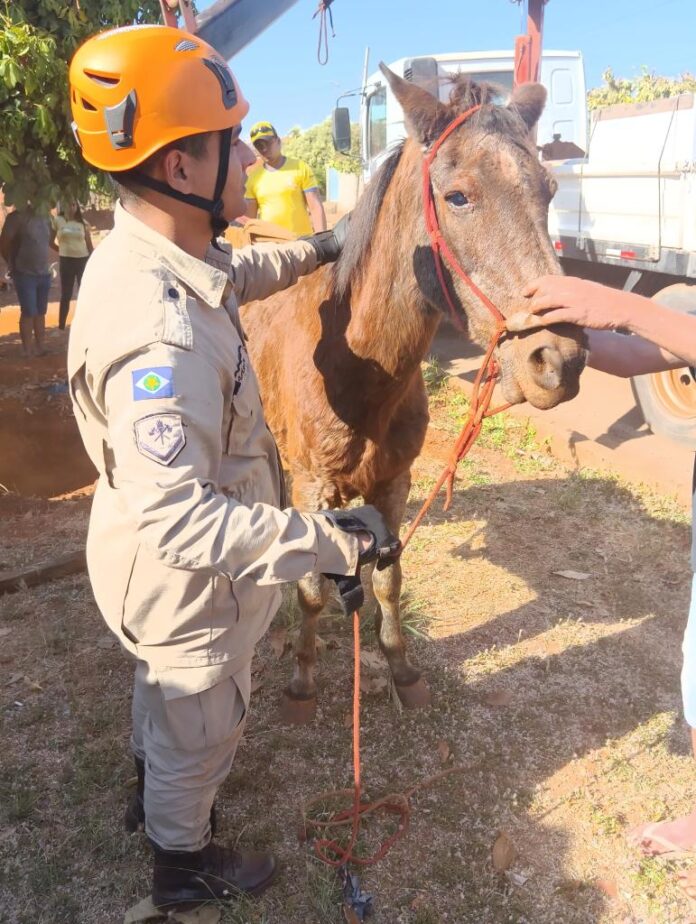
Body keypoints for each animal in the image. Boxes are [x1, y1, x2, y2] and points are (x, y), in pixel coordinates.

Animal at [241, 68, 588, 724]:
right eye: (458, 197)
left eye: (551, 189)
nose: (559, 359)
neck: (355, 370)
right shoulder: (313, 486)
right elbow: (311, 589)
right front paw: (301, 681)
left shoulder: (394, 484)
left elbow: (388, 580)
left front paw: (403, 671)